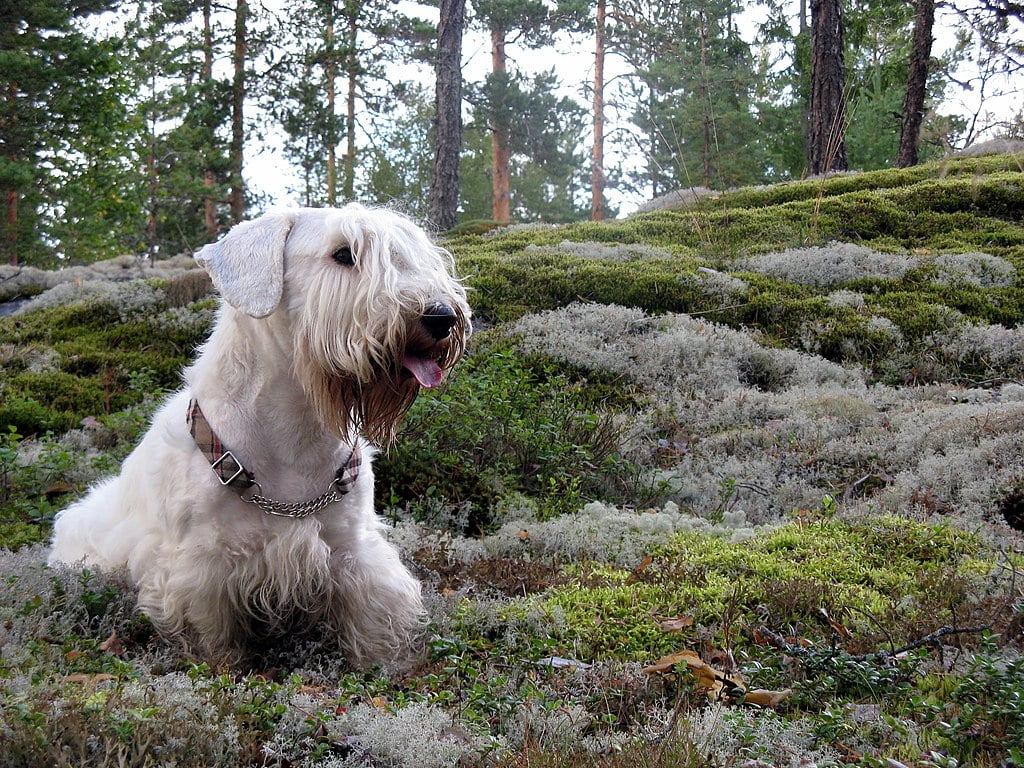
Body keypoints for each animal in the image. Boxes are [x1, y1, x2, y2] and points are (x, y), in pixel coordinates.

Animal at [50, 207, 471, 671]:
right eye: (343, 254)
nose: (441, 317)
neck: (295, 433)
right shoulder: (199, 568)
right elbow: (211, 634)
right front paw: (223, 668)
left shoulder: (351, 546)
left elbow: (373, 615)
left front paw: (386, 665)